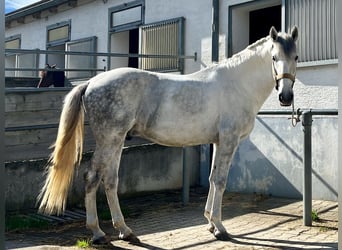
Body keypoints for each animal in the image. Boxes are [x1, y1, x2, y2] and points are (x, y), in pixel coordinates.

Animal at [38, 26, 298, 243]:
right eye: (274, 58)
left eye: (295, 57)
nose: (286, 97)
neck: (237, 84)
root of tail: (92, 82)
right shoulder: (228, 141)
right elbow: (221, 181)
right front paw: (219, 227)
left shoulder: (217, 142)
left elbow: (212, 178)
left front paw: (209, 222)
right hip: (109, 139)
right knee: (92, 177)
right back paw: (98, 233)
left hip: (117, 140)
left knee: (110, 181)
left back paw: (125, 230)